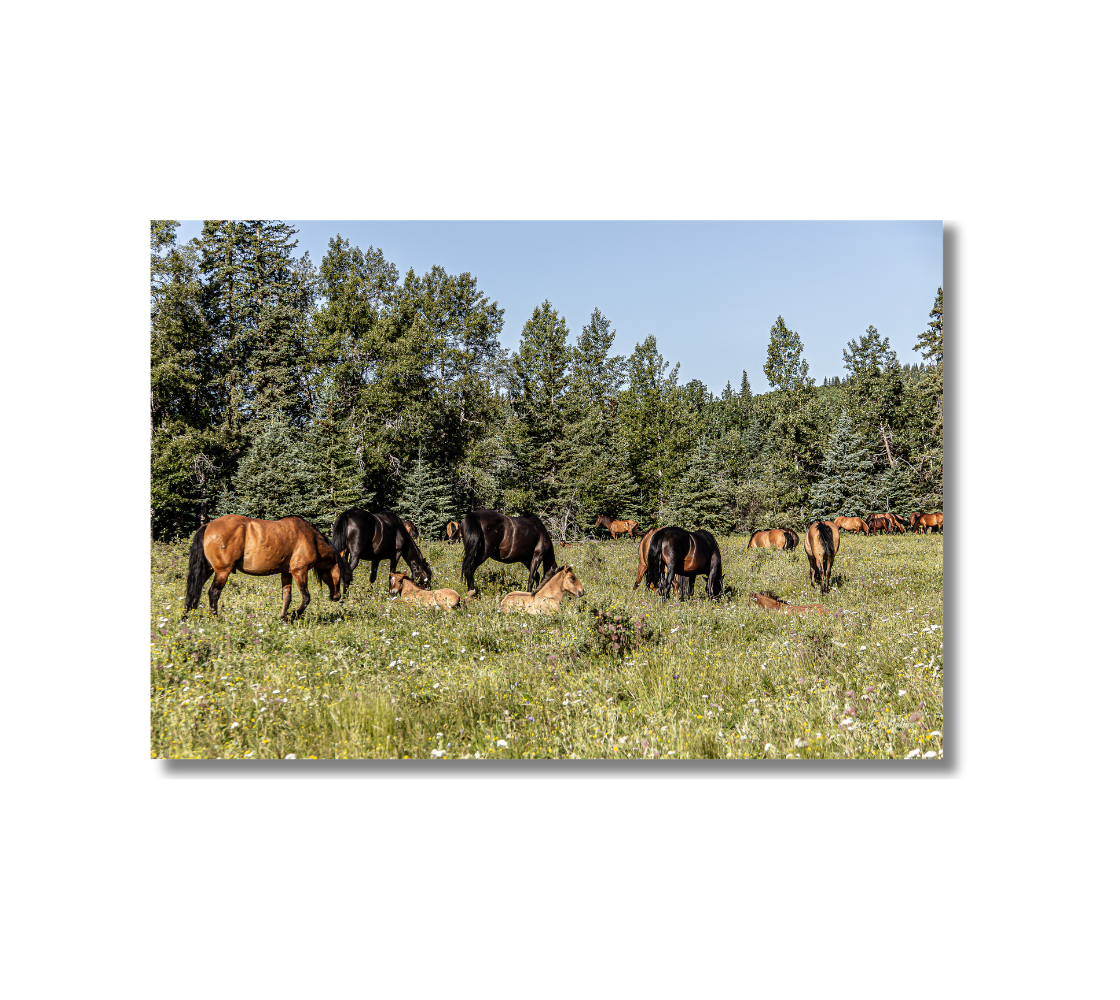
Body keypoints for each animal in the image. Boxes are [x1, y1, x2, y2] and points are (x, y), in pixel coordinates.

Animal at [185, 514, 352, 620]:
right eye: (340, 573)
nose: (337, 597)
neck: (311, 538)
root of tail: (207, 526)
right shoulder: (299, 571)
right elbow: (306, 597)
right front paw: (294, 616)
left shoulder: (287, 573)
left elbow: (287, 597)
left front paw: (283, 618)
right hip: (222, 571)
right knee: (213, 592)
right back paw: (215, 618)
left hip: (207, 570)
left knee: (194, 590)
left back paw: (187, 616)